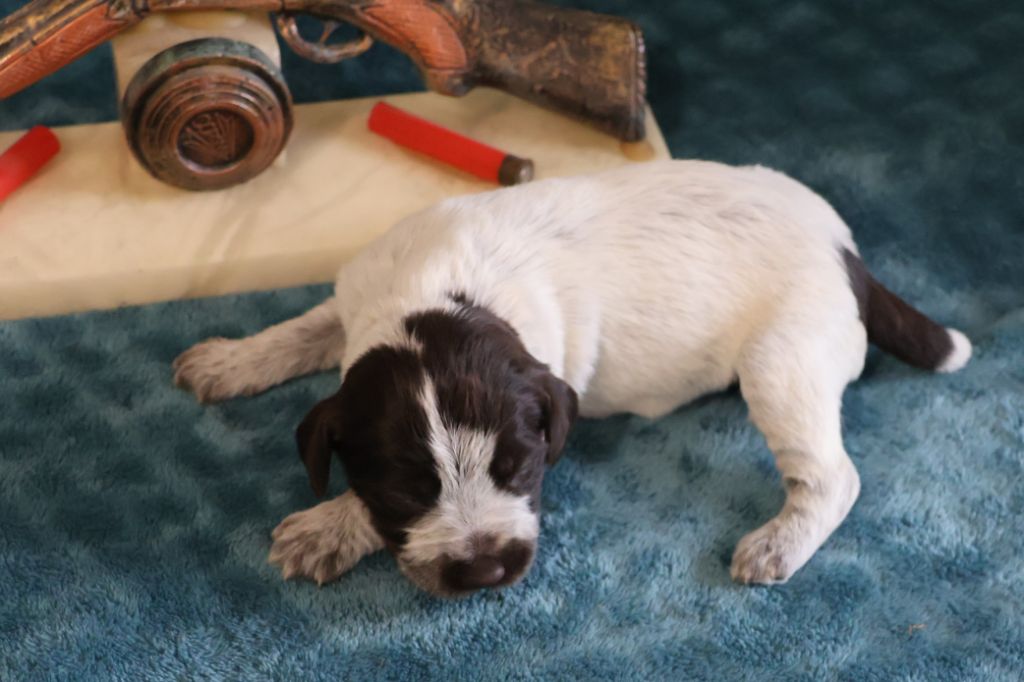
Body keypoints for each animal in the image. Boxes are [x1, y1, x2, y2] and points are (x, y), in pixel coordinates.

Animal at [172, 159, 970, 593]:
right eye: (405, 491)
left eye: (522, 470)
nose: (485, 572)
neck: (443, 299)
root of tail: (845, 252)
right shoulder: (356, 300)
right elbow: (307, 326)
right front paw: (230, 359)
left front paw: (328, 526)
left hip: (781, 360)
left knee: (833, 477)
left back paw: (777, 543)